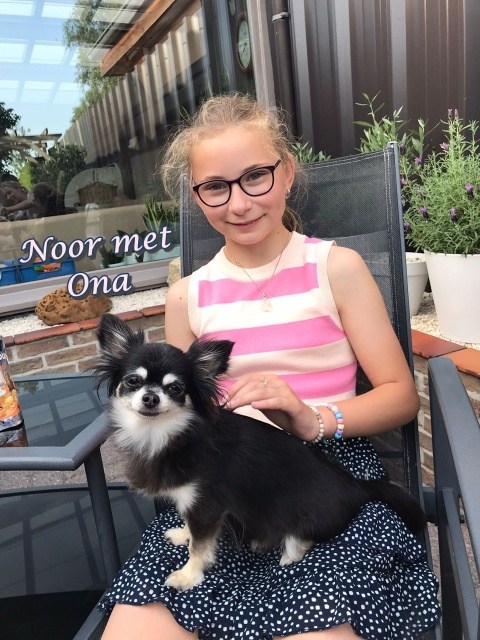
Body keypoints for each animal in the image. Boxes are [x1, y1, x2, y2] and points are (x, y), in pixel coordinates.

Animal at [92, 313, 427, 591]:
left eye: (175, 389)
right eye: (133, 381)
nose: (150, 397)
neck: (165, 434)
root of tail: (358, 485)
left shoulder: (208, 503)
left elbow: (200, 547)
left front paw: (187, 576)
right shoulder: (194, 503)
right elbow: (192, 528)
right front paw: (183, 534)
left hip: (305, 513)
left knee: (302, 535)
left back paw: (287, 551)